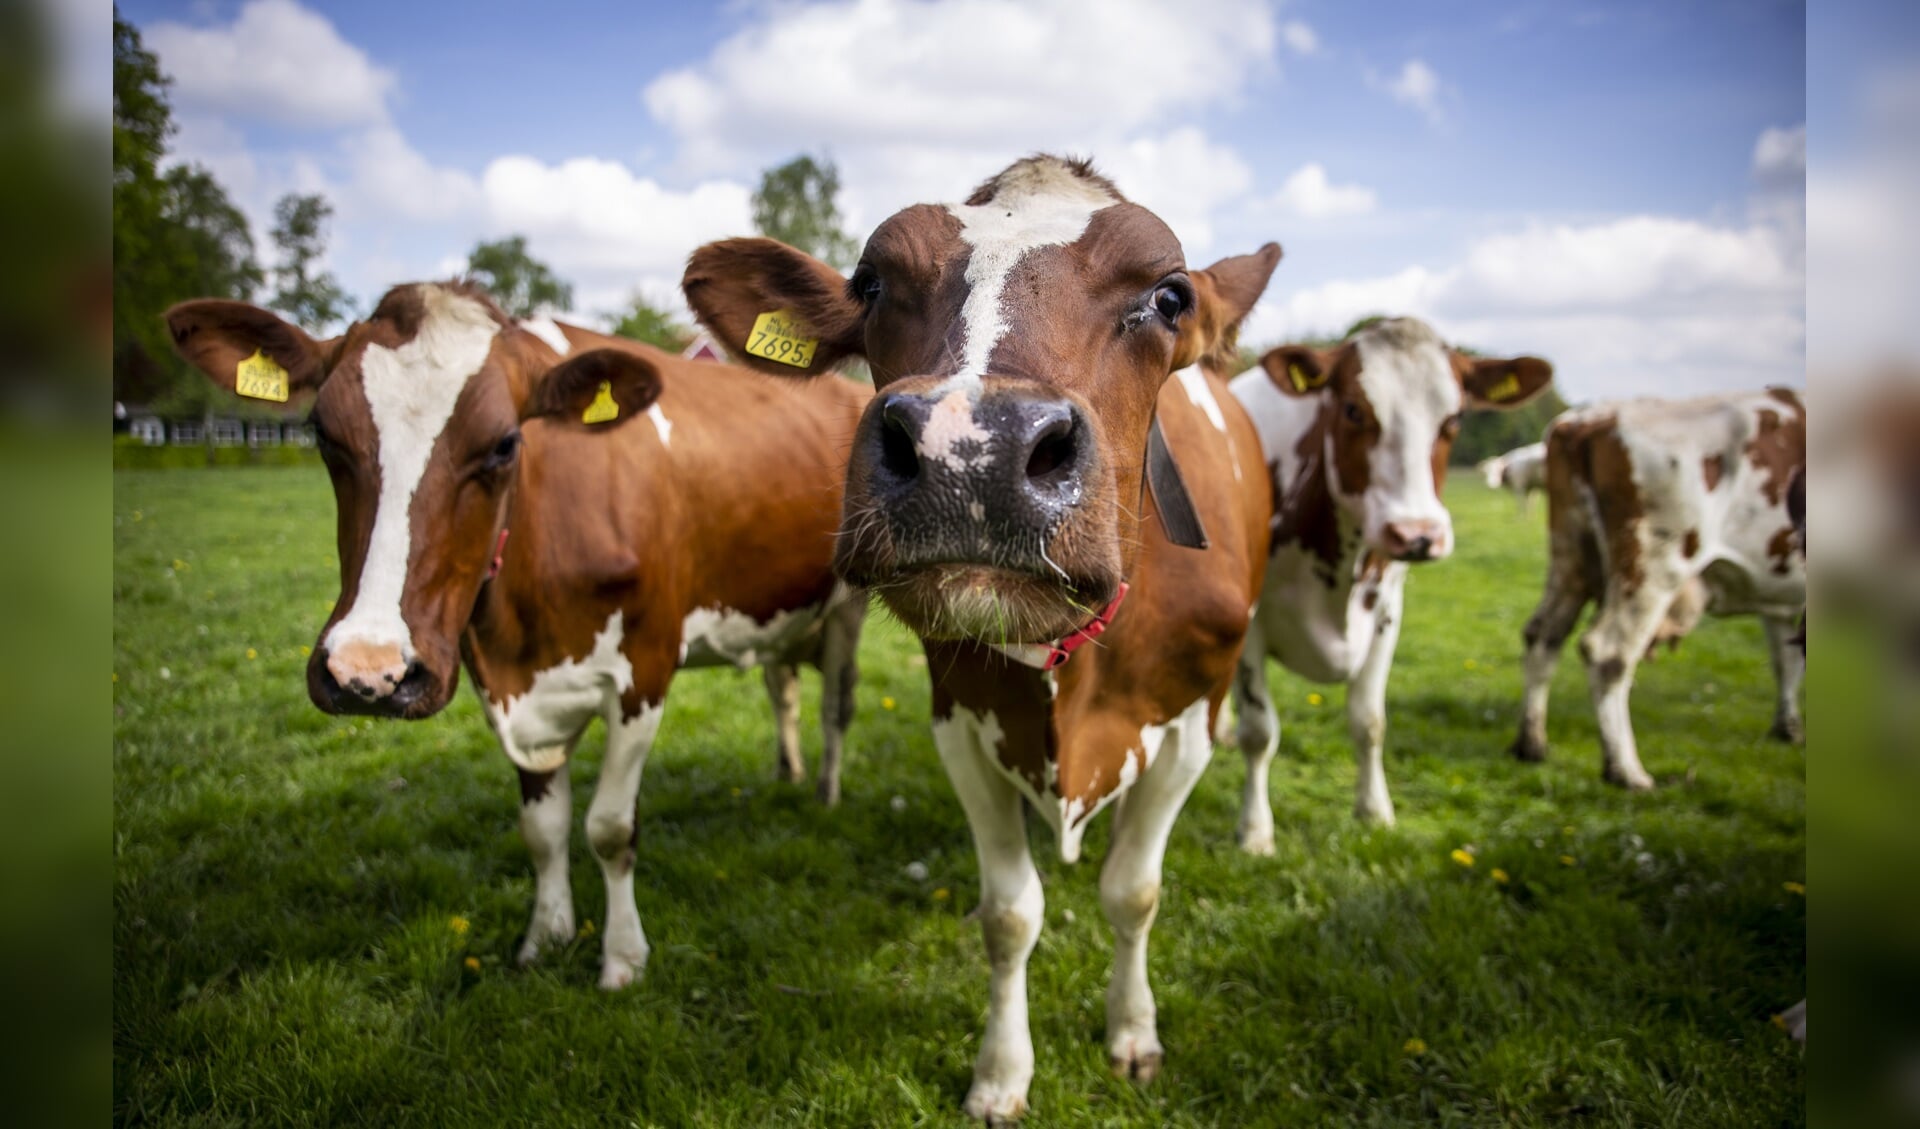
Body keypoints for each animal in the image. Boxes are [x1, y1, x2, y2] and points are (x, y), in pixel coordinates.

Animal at [165, 284, 871, 990]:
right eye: (321, 433)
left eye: (505, 443)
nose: (366, 671)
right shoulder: (500, 681)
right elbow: (542, 828)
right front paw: (547, 936)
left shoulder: (644, 670)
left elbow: (609, 828)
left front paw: (622, 959)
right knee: (783, 688)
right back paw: (787, 772)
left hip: (848, 608)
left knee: (836, 708)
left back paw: (826, 793)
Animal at [683, 156, 1282, 1121]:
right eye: (871, 282)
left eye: (1170, 295)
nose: (971, 452)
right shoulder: (959, 718)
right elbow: (1010, 913)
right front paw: (1001, 1072)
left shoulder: (1191, 720)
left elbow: (1134, 891)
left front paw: (1132, 1031)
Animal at [1228, 320, 1559, 837]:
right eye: (1353, 409)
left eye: (1454, 420)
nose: (1417, 534)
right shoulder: (1250, 620)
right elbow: (1259, 732)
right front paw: (1256, 829)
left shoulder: (1387, 610)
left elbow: (1369, 722)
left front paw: (1374, 810)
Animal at [1505, 391, 1804, 791]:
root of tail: (1586, 420)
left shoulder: (1777, 594)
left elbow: (1786, 659)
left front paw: (1787, 727)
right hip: (1656, 564)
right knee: (1609, 652)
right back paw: (1626, 770)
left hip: (1572, 555)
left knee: (1543, 635)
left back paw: (1533, 744)